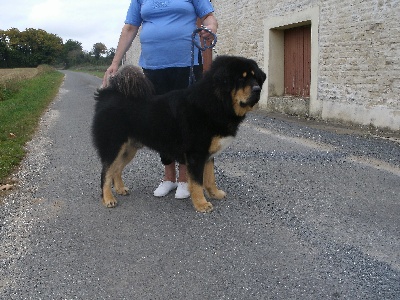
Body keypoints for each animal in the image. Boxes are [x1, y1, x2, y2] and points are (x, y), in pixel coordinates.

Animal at [92, 55, 264, 212]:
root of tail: (106, 95)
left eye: (255, 77)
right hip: (113, 146)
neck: (214, 102)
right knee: (105, 173)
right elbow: (197, 182)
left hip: (129, 149)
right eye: (241, 79)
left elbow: (210, 179)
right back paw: (108, 198)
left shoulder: (208, 154)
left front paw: (215, 194)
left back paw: (120, 189)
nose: (258, 90)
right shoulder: (196, 154)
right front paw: (201, 204)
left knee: (116, 170)